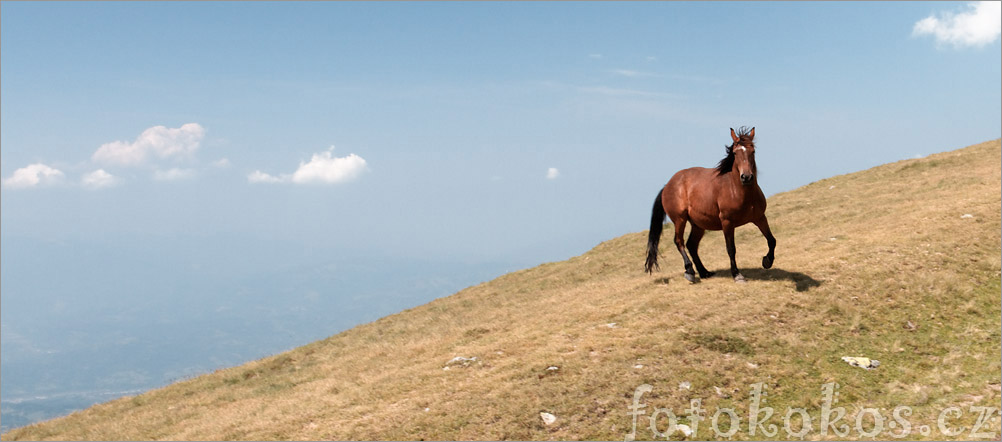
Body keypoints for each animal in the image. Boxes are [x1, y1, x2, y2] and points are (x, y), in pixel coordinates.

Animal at [645, 126, 777, 282]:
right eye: (735, 153)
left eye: (753, 151)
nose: (746, 177)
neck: (738, 191)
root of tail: (667, 186)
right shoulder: (727, 222)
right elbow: (731, 249)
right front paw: (737, 275)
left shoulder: (759, 217)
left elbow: (772, 240)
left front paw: (767, 261)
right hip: (680, 219)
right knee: (679, 241)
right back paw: (690, 271)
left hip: (698, 224)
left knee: (691, 244)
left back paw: (704, 272)